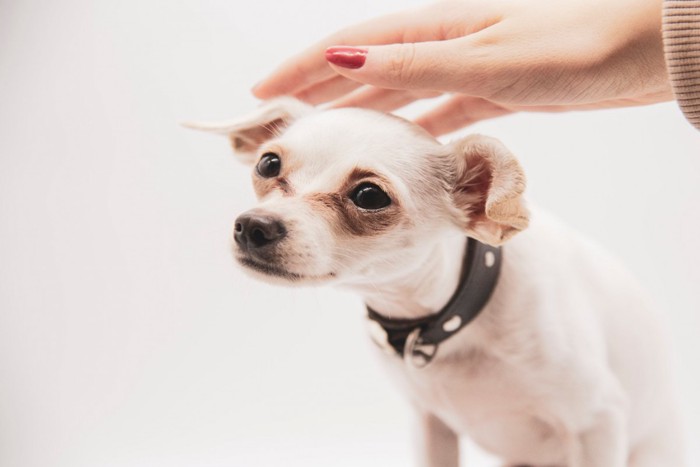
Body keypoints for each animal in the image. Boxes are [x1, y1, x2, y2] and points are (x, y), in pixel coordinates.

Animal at [185, 98, 684, 467]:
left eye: (369, 195)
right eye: (268, 164)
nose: (253, 226)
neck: (445, 321)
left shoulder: (597, 421)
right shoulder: (430, 425)